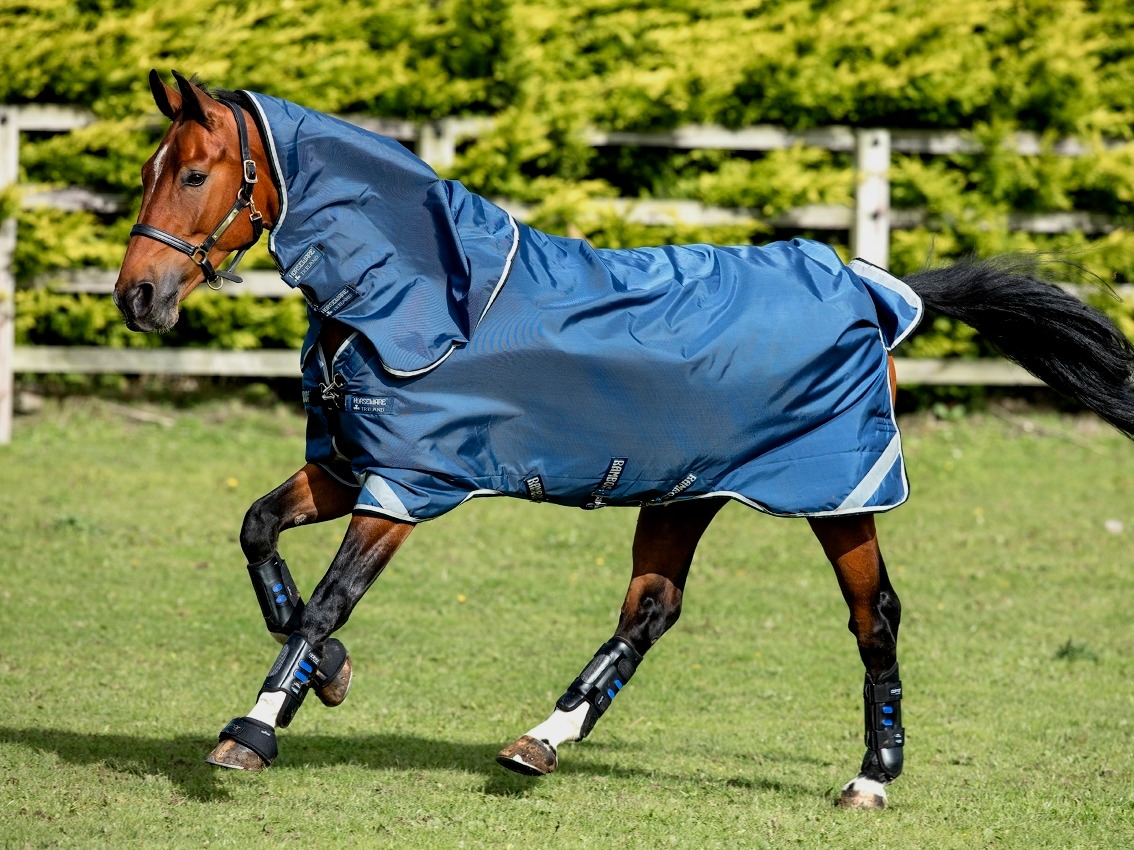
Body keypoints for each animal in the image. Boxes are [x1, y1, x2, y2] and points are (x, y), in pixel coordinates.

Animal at [115, 69, 1134, 806]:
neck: (416, 294)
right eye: (149, 173)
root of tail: (873, 292)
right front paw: (327, 677)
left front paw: (255, 729)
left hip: (833, 493)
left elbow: (330, 600)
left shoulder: (405, 484)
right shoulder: (349, 465)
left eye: (195, 174)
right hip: (688, 491)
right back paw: (543, 740)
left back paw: (871, 778)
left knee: (871, 615)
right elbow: (259, 534)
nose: (138, 296)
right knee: (650, 609)